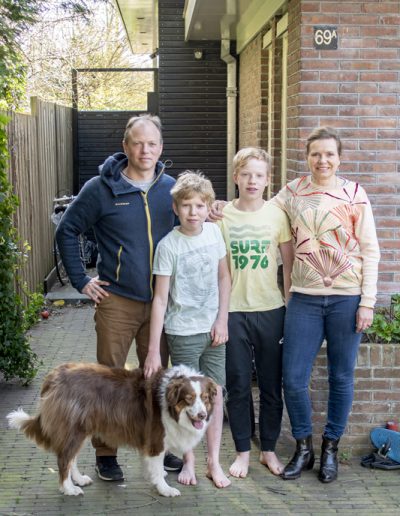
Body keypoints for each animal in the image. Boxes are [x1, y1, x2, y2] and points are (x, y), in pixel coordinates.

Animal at [7, 360, 216, 498]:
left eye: (205, 398)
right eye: (188, 398)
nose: (202, 415)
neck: (168, 402)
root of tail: (54, 375)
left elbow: (154, 465)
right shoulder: (156, 438)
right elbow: (156, 465)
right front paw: (165, 489)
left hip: (80, 428)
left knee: (71, 457)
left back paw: (79, 479)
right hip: (74, 428)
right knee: (64, 459)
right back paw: (69, 488)